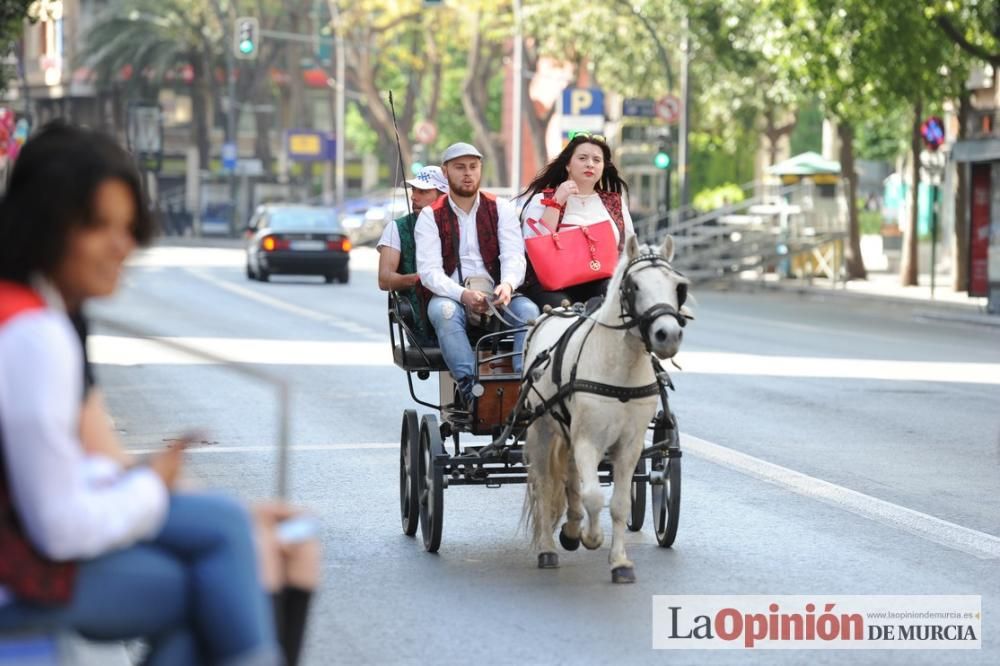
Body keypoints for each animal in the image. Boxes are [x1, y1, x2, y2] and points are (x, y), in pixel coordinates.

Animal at [524, 233, 688, 580]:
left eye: (677, 286)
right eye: (634, 286)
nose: (668, 334)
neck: (620, 367)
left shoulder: (629, 445)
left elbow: (619, 503)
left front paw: (620, 562)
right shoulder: (589, 441)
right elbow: (594, 496)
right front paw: (592, 537)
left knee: (570, 476)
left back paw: (571, 529)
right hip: (541, 429)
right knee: (545, 484)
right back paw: (548, 548)